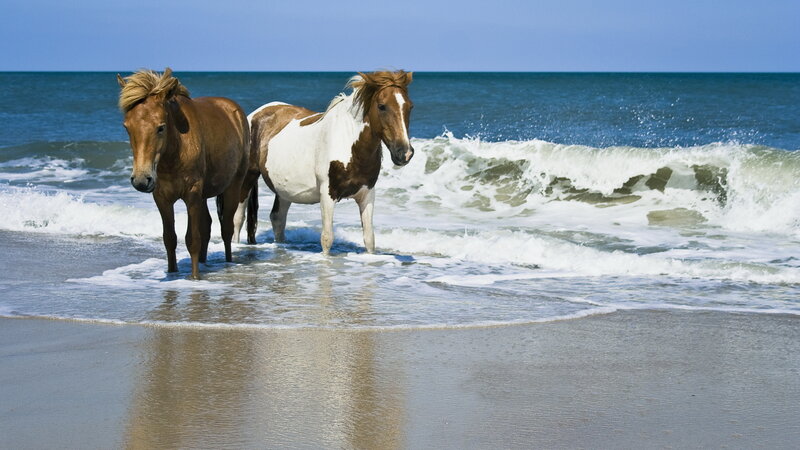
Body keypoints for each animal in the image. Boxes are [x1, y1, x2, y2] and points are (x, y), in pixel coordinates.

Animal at [117, 68, 252, 279]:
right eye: (127, 127)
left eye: (161, 127)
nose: (141, 180)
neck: (176, 151)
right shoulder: (162, 198)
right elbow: (170, 238)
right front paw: (172, 272)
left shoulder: (192, 194)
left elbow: (192, 239)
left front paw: (195, 277)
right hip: (203, 196)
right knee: (207, 225)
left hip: (232, 187)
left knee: (226, 228)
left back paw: (228, 262)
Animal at [234, 70, 414, 254]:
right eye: (382, 106)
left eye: (410, 107)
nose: (404, 153)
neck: (348, 143)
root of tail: (255, 114)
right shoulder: (327, 195)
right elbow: (327, 238)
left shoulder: (367, 194)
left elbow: (369, 239)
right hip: (247, 178)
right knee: (238, 218)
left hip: (284, 189)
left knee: (277, 218)